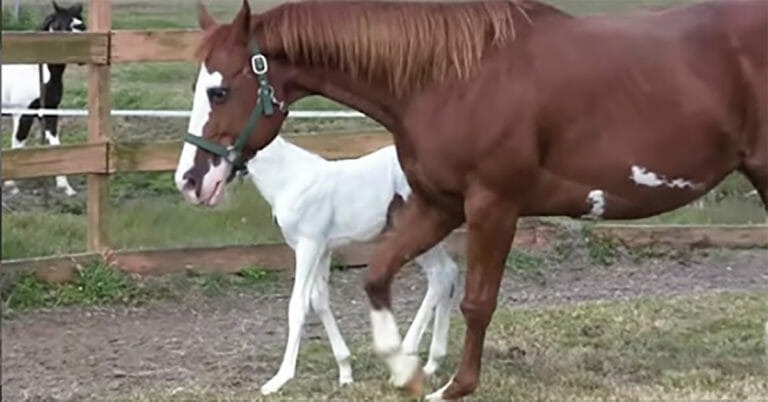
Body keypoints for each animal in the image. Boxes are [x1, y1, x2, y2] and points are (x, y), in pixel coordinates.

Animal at [2, 1, 86, 197]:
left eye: (83, 26)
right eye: (66, 26)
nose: (83, 57)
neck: (37, 72)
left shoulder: (49, 111)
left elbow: (55, 144)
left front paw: (65, 187)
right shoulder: (22, 113)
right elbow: (18, 142)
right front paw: (11, 185)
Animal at [180, 65, 462, 394]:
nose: (193, 184)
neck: (290, 179)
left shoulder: (309, 244)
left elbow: (298, 305)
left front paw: (279, 379)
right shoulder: (323, 249)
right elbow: (319, 300)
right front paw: (345, 371)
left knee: (440, 276)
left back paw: (408, 354)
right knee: (447, 274)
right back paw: (431, 362)